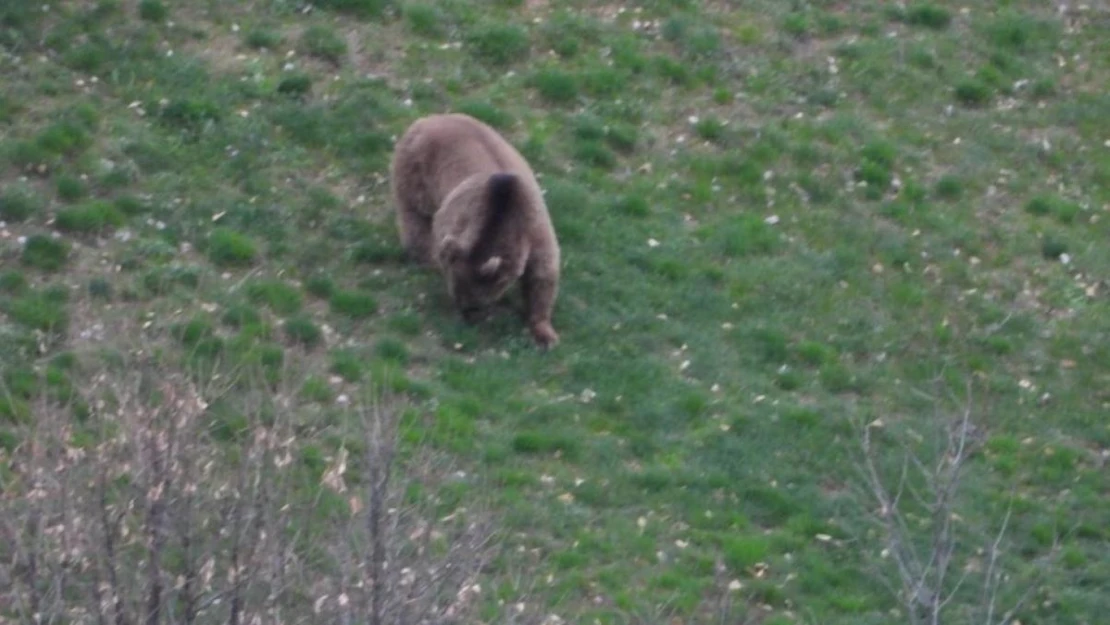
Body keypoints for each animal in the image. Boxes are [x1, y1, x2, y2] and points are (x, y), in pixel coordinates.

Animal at [390, 112, 563, 346]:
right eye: (459, 292)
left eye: (476, 300)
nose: (468, 313)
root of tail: (428, 119)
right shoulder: (460, 217)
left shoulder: (534, 231)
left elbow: (543, 275)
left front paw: (545, 332)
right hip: (416, 171)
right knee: (415, 217)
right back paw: (423, 256)